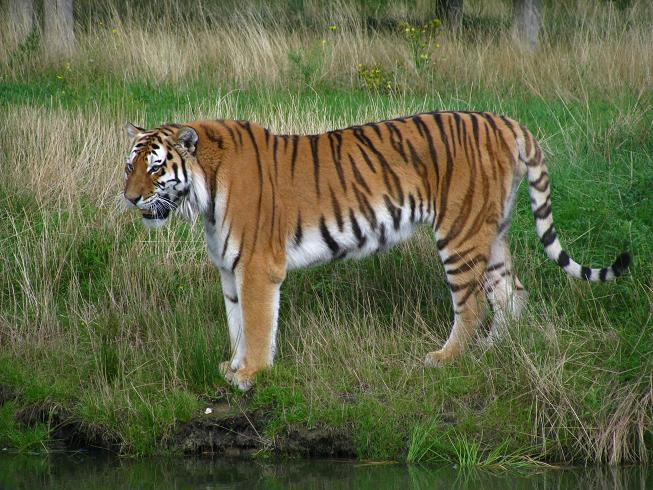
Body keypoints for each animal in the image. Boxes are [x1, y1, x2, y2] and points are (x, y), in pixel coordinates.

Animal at [123, 111, 630, 391]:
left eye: (155, 168)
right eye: (130, 166)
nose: (128, 198)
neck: (203, 195)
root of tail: (504, 121)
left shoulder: (257, 267)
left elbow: (258, 323)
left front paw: (251, 375)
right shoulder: (230, 270)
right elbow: (236, 324)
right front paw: (233, 367)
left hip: (460, 234)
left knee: (469, 305)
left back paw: (446, 358)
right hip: (493, 232)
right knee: (511, 293)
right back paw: (491, 351)